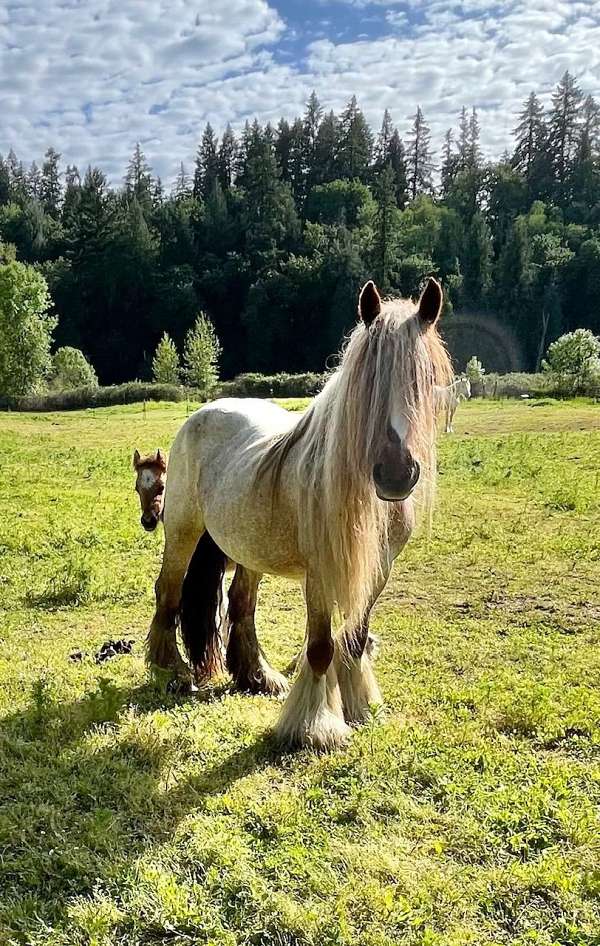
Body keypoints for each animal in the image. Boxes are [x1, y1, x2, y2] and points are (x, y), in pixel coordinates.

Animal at [148, 276, 452, 748]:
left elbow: (355, 639)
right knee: (169, 593)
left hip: (248, 548)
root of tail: (204, 411)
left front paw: (360, 707)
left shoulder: (377, 572)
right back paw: (173, 671)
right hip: (182, 531)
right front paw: (315, 727)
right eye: (365, 380)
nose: (395, 474)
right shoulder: (320, 573)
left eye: (426, 378)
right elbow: (322, 646)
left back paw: (258, 676)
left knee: (241, 605)